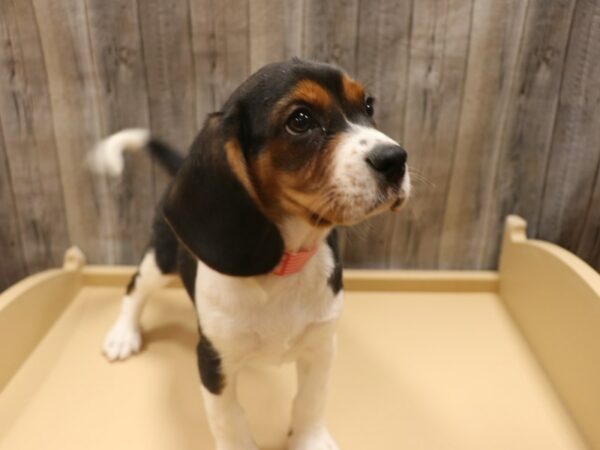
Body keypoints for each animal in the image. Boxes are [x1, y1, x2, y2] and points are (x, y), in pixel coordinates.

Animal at [94, 59, 410, 450]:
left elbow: (311, 400)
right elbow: (230, 420)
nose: (396, 159)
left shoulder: (321, 346)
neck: (284, 265)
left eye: (368, 106)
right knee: (134, 288)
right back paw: (123, 333)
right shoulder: (213, 361)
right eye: (300, 120)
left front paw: (310, 439)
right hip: (161, 255)